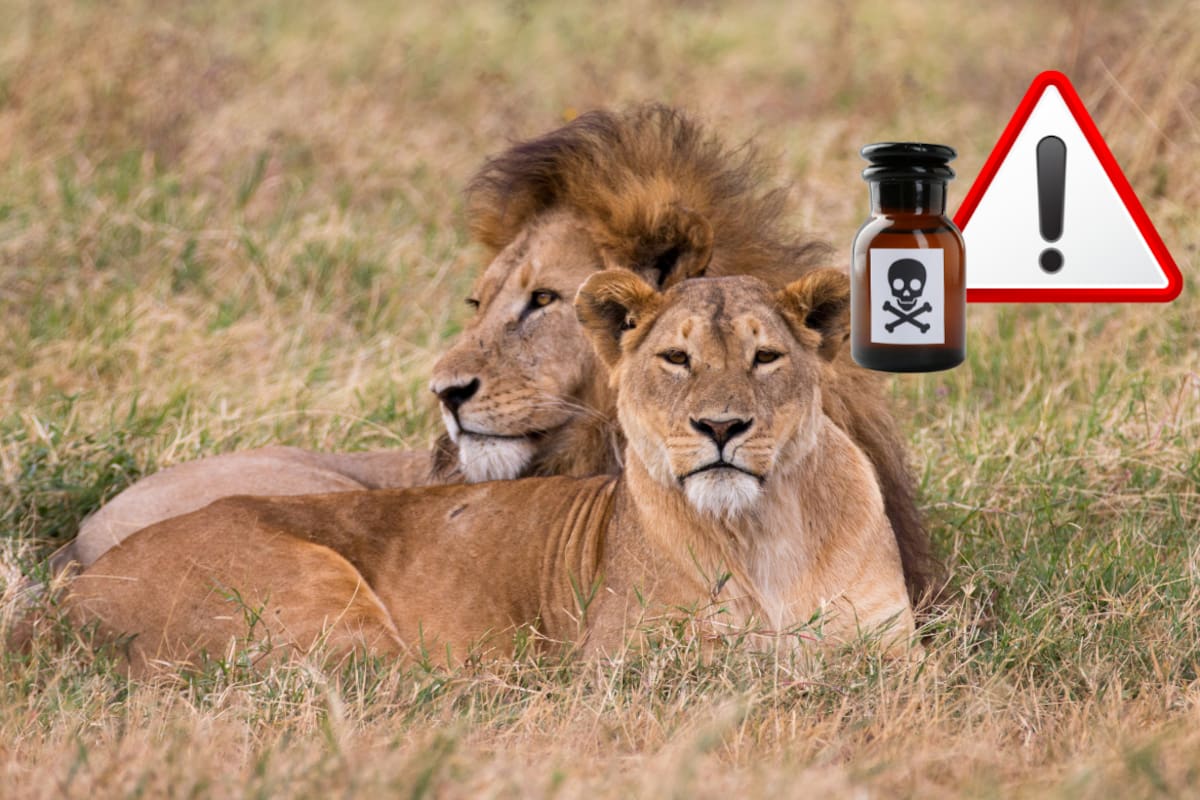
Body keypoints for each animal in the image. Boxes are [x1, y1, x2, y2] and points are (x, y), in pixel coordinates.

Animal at [65, 270, 915, 675]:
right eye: (676, 359)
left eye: (765, 357)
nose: (721, 428)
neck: (765, 528)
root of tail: (77, 586)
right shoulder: (636, 666)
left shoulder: (892, 654)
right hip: (316, 599)